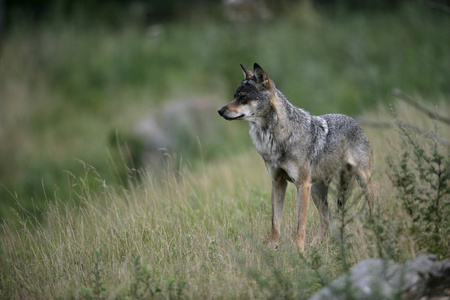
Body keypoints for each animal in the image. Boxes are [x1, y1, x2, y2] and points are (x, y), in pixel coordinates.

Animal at [218, 62, 376, 251]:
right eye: (234, 96)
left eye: (243, 97)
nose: (220, 111)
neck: (275, 138)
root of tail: (353, 121)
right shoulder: (278, 183)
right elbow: (275, 223)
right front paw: (272, 249)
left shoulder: (302, 185)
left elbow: (300, 225)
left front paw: (299, 252)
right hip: (317, 191)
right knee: (327, 221)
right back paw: (314, 247)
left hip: (361, 181)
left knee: (373, 207)